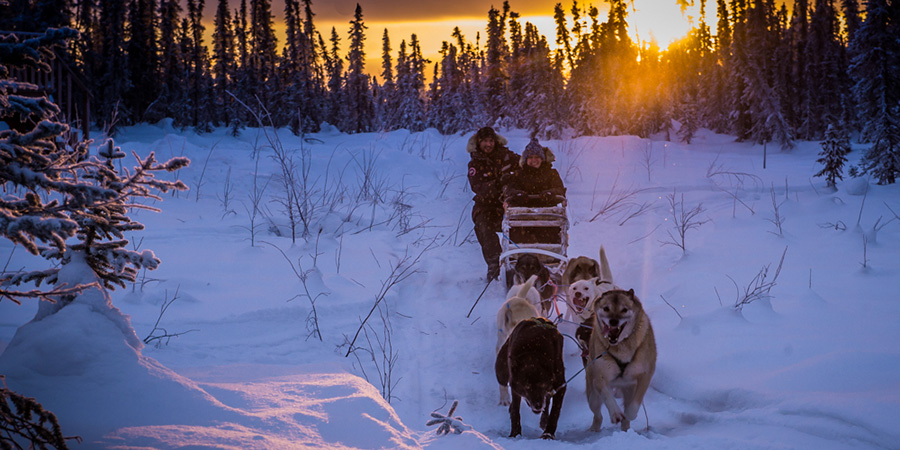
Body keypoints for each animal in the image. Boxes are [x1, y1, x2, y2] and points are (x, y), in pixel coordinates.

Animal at [584, 288, 652, 432]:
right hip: (593, 396)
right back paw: (594, 428)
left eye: (624, 309)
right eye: (606, 308)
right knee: (597, 414)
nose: (613, 321)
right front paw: (615, 413)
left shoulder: (645, 374)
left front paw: (629, 414)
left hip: (629, 389)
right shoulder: (600, 376)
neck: (621, 346)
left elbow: (635, 404)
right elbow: (607, 395)